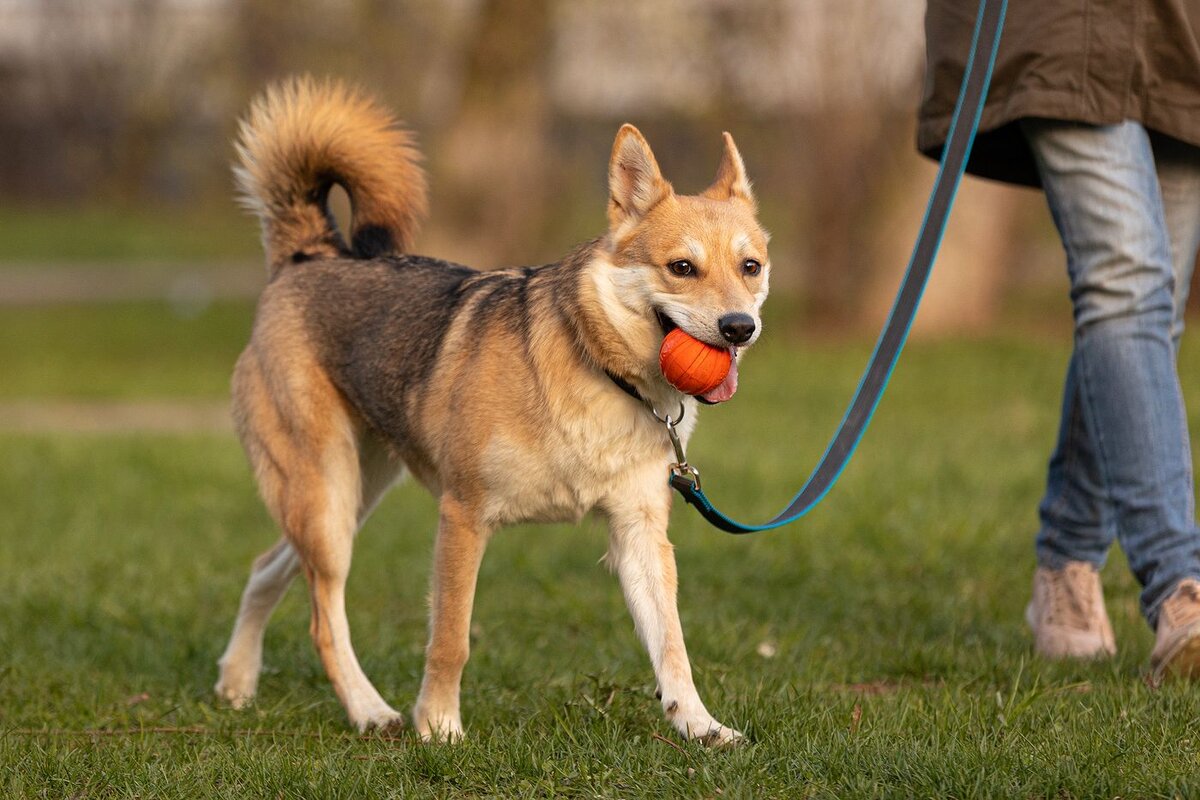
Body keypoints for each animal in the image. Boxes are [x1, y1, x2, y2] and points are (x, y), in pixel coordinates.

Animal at [217, 76, 772, 743]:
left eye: (751, 267)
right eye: (682, 268)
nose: (739, 328)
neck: (602, 374)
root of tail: (309, 256)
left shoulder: (639, 531)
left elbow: (672, 645)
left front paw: (699, 726)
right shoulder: (463, 516)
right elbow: (451, 639)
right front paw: (438, 728)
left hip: (348, 499)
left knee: (266, 568)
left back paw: (237, 684)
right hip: (325, 500)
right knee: (323, 617)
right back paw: (371, 711)